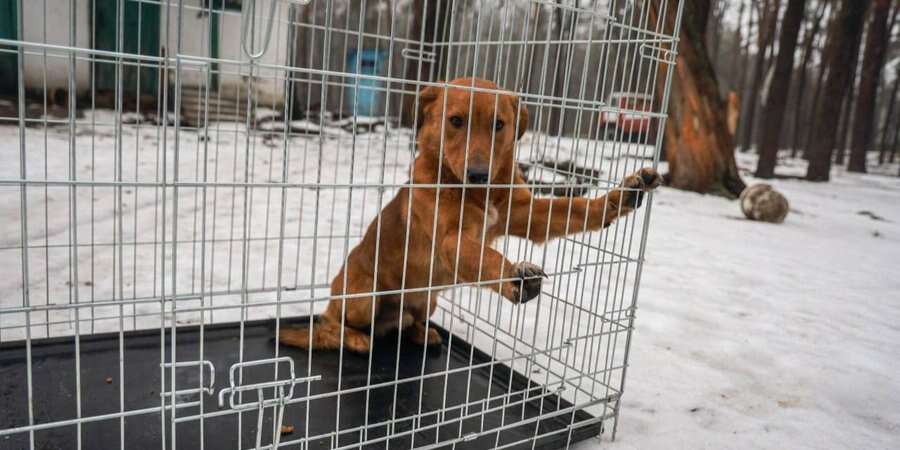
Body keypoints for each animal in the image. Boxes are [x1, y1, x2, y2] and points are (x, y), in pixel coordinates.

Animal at [276, 77, 660, 352]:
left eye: (499, 125)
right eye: (456, 121)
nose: (478, 173)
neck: (477, 193)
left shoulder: (528, 214)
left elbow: (573, 209)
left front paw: (623, 195)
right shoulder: (451, 240)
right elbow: (486, 256)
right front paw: (515, 276)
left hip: (427, 301)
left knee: (407, 322)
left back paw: (420, 333)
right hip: (361, 298)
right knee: (329, 324)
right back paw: (353, 338)